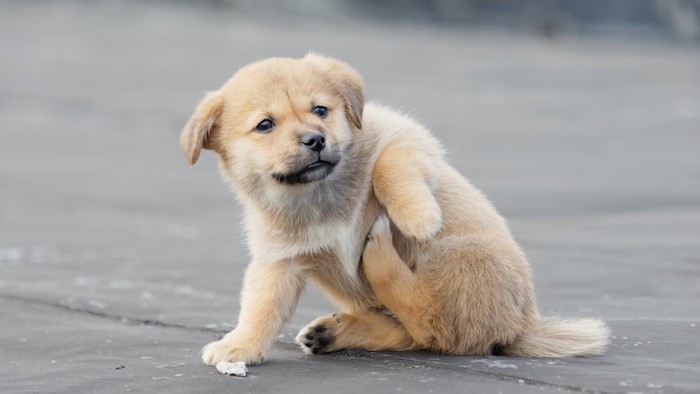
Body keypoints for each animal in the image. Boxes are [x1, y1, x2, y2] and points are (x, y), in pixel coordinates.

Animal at [179, 53, 608, 366]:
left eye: (321, 110)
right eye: (265, 125)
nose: (316, 140)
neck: (320, 194)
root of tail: (519, 327)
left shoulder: (405, 136)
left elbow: (389, 165)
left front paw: (418, 216)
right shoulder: (279, 260)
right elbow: (260, 307)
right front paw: (240, 346)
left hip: (463, 255)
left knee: (430, 323)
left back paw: (379, 255)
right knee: (416, 332)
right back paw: (335, 332)